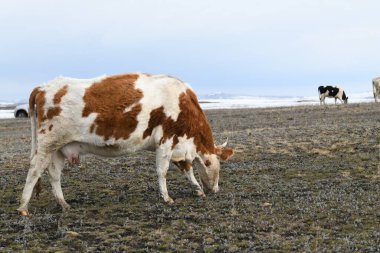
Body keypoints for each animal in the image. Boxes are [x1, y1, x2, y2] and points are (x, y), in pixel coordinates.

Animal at [17, 73, 235, 215]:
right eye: (215, 164)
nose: (215, 189)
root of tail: (43, 87)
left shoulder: (179, 148)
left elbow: (187, 169)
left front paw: (198, 189)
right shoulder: (166, 140)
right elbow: (162, 171)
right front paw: (167, 198)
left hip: (59, 149)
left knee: (54, 174)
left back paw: (64, 204)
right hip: (47, 143)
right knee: (35, 170)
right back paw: (23, 207)